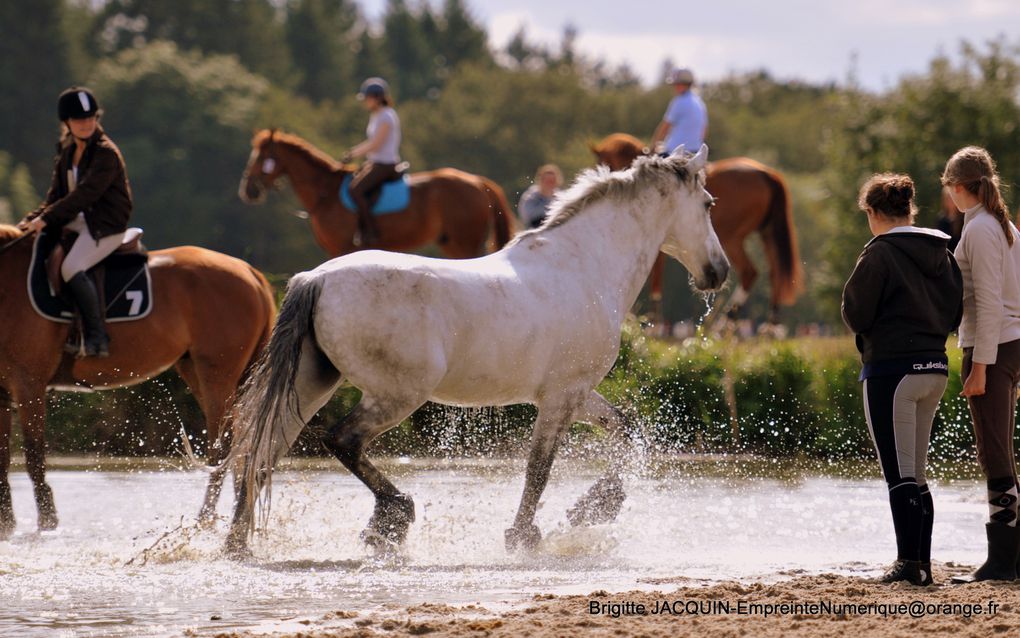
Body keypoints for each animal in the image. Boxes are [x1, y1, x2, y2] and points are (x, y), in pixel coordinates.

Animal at [0, 223, 275, 538]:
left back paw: (205, 519)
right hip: (202, 373)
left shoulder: (29, 385)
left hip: (217, 376)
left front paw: (47, 523)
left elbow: (34, 458)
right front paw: (6, 525)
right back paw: (239, 514)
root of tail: (248, 271)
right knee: (241, 446)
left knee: (223, 448)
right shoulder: (3, 394)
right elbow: (3, 459)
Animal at [227, 146, 730, 555]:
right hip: (396, 396)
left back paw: (238, 544)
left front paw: (593, 508)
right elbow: (539, 470)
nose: (719, 271)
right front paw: (525, 536)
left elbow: (631, 436)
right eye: (708, 204)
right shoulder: (560, 399)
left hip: (311, 385)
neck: (585, 266)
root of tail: (317, 278)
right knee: (340, 441)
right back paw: (391, 518)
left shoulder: (578, 394)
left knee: (259, 455)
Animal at [240, 128, 518, 257]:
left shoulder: (341, 249)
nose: (248, 190)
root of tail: (478, 182)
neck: (325, 193)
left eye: (263, 157)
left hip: (464, 244)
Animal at [591, 132, 803, 322]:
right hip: (767, 233)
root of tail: (767, 173)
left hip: (732, 238)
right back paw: (768, 324)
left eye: (604, 163)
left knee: (750, 272)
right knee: (775, 273)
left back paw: (725, 321)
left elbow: (656, 280)